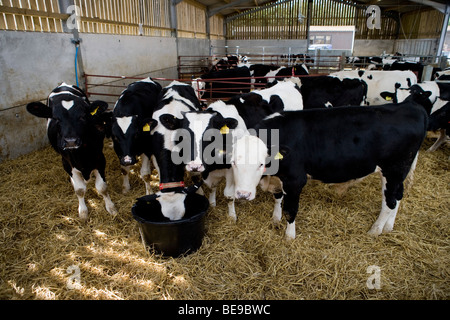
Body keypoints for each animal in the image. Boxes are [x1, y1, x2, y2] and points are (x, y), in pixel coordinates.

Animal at [25, 82, 118, 220]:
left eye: (83, 116)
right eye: (56, 118)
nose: (70, 141)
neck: (82, 156)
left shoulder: (100, 159)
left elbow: (102, 187)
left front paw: (111, 208)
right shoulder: (67, 163)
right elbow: (79, 190)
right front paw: (83, 212)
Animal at [230, 89, 430, 239]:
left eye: (260, 164)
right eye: (233, 163)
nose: (243, 194)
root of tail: (410, 106)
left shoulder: (295, 179)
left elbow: (290, 210)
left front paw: (289, 237)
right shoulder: (280, 177)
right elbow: (278, 198)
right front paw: (275, 219)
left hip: (394, 170)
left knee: (390, 200)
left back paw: (375, 230)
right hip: (397, 172)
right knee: (397, 196)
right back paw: (388, 227)